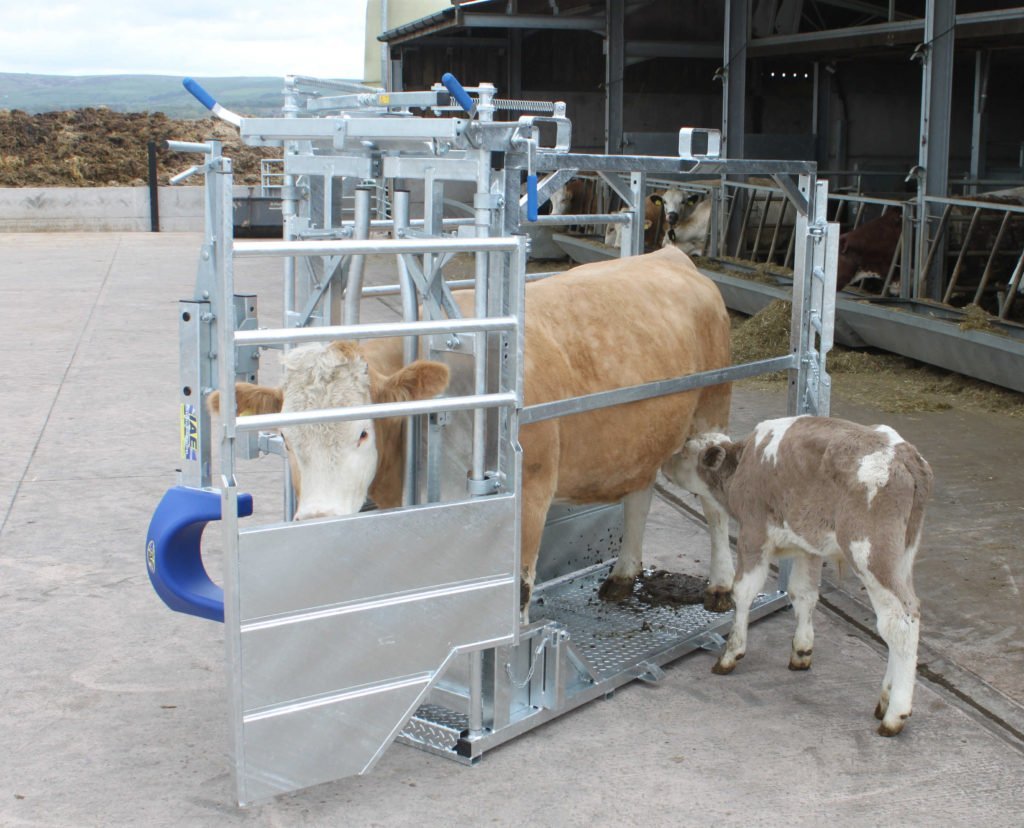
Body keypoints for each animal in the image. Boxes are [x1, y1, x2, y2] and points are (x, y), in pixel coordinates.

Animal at [212, 247, 735, 619]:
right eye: (285, 439)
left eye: (363, 433)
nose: (319, 521)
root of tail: (669, 254)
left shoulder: (532, 492)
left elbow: (517, 592)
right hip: (646, 435)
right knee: (640, 492)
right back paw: (625, 575)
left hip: (710, 418)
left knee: (713, 504)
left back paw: (721, 586)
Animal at [661, 415, 933, 736]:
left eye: (685, 450)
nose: (663, 463)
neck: (741, 466)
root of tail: (906, 456)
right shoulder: (807, 547)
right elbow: (802, 594)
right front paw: (802, 651)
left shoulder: (753, 533)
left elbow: (743, 592)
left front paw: (731, 654)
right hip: (902, 556)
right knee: (902, 620)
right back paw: (885, 700)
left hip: (871, 554)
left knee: (898, 621)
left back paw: (895, 714)